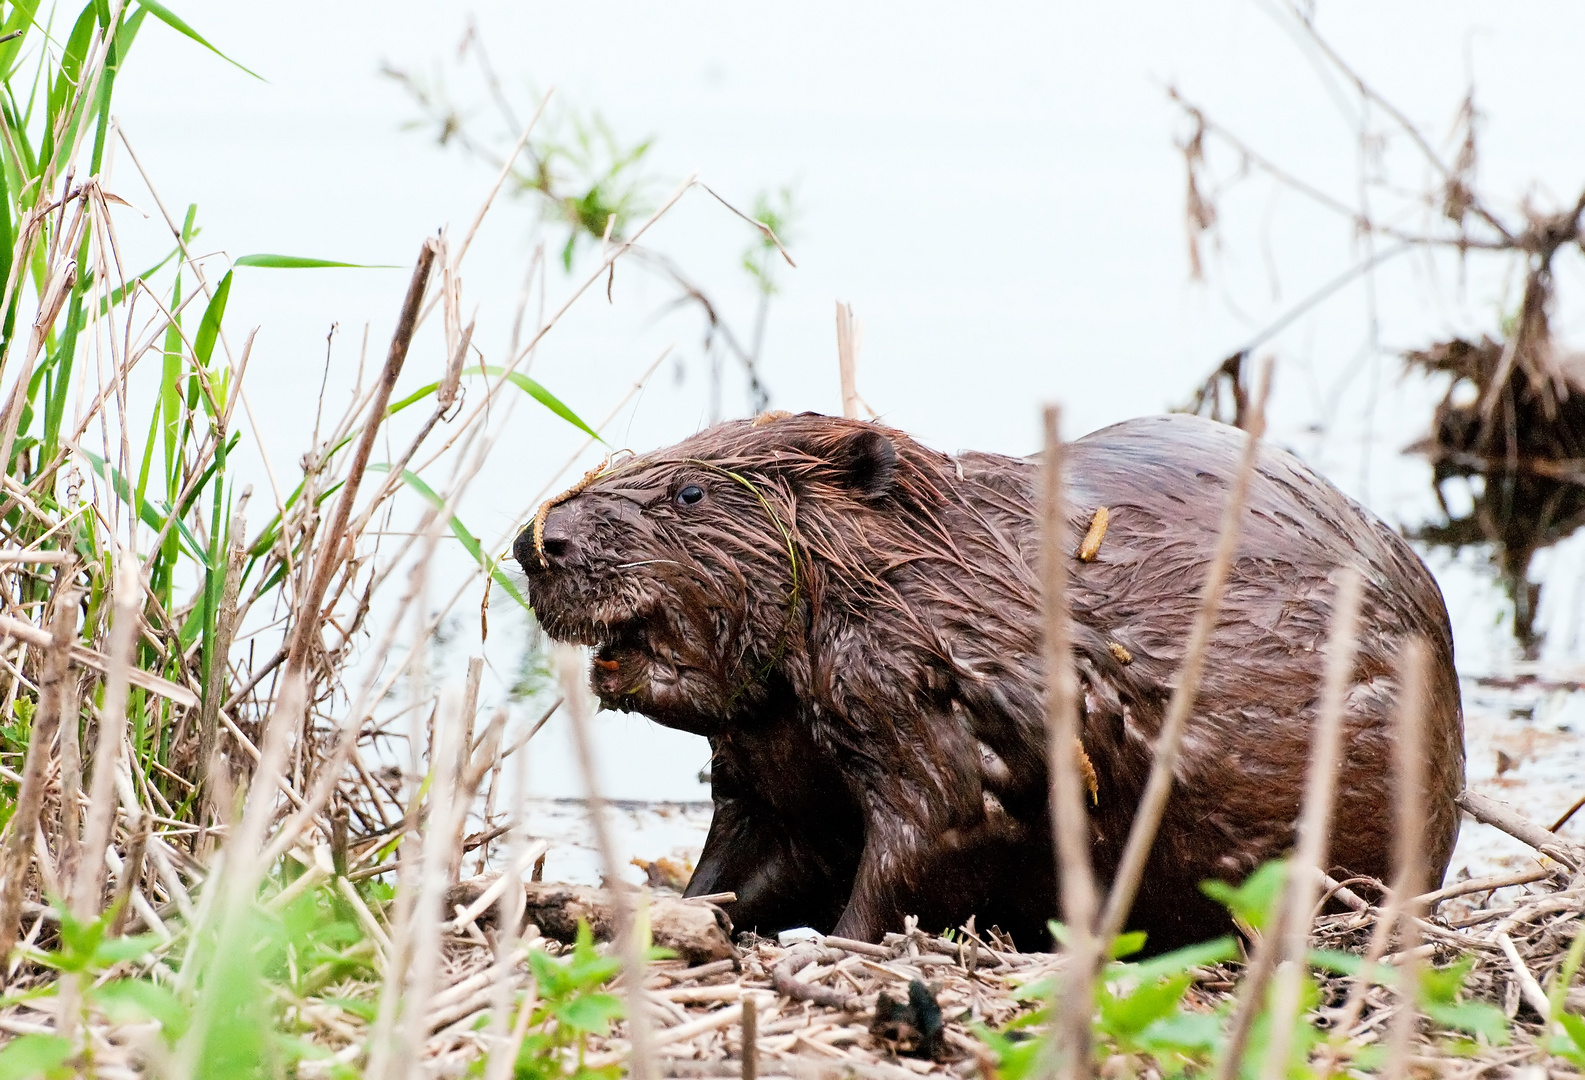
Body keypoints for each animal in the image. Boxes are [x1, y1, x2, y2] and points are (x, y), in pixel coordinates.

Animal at [516, 409, 1458, 945]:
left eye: (688, 494)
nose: (539, 542)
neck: (944, 573)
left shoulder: (942, 705)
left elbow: (933, 838)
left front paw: (828, 944)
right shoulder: (767, 762)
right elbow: (749, 849)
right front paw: (664, 912)